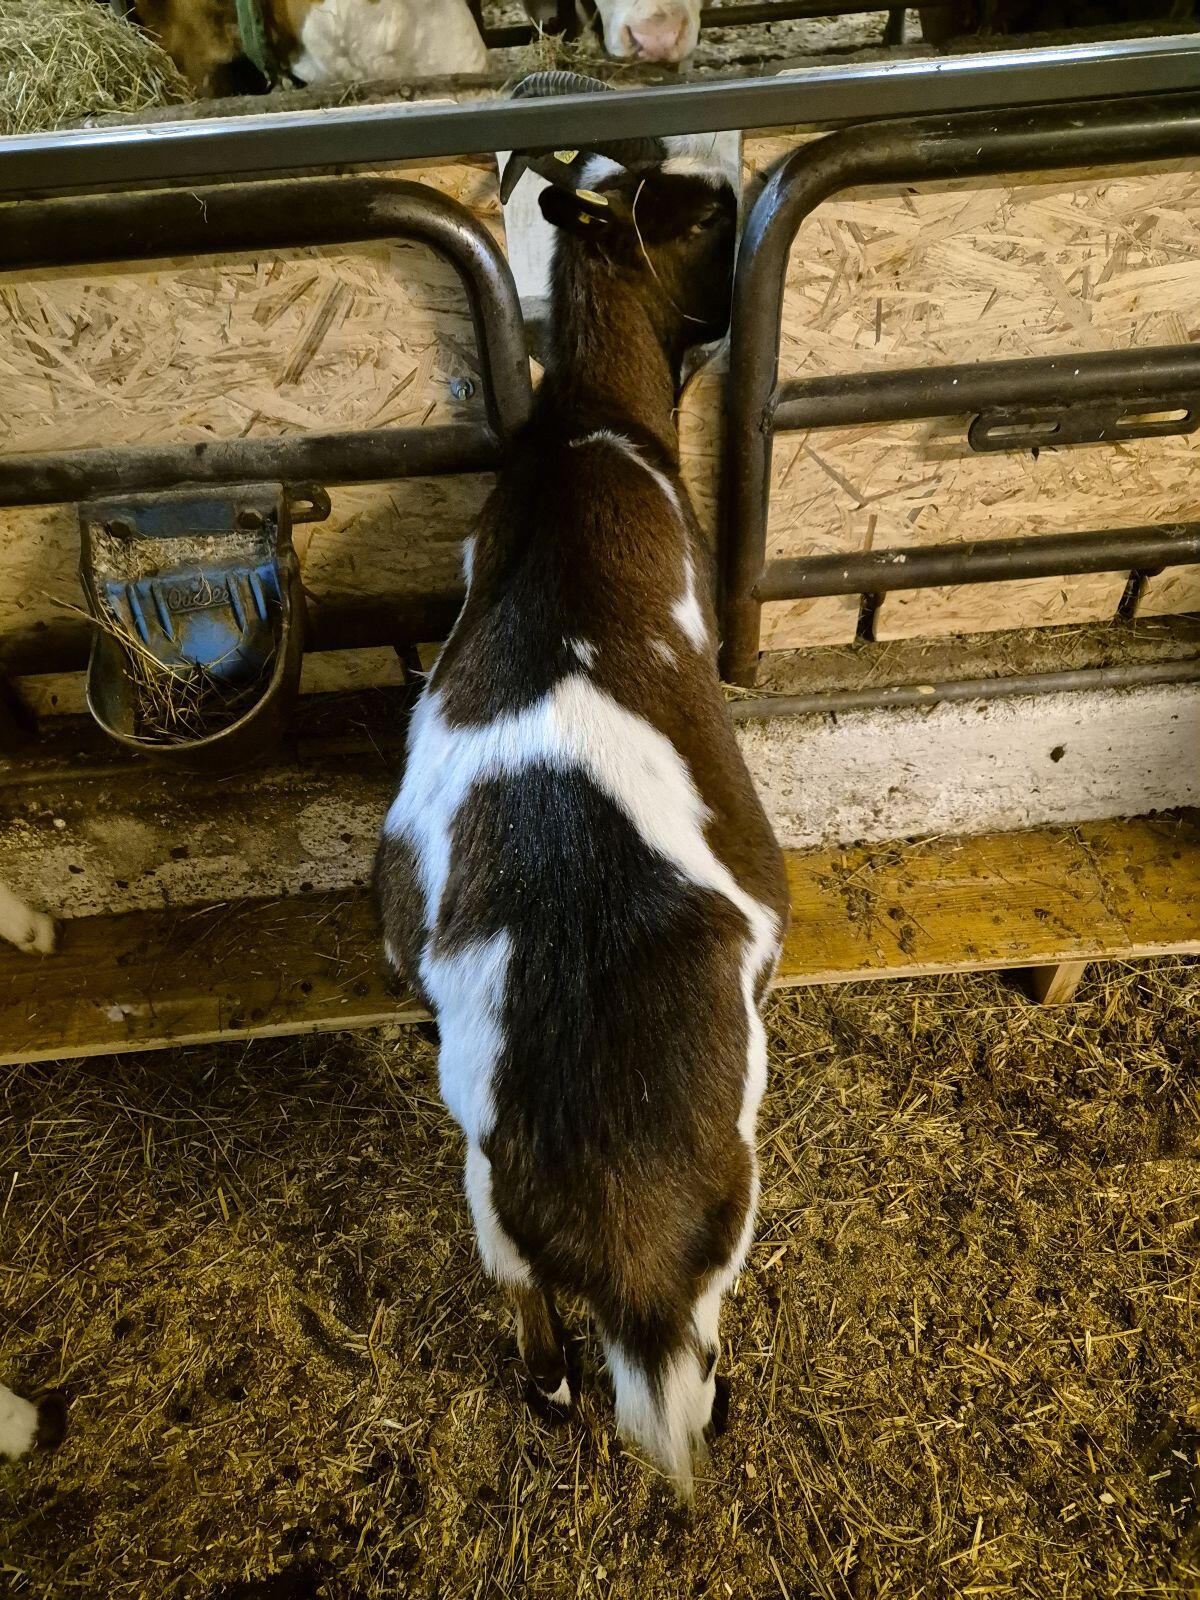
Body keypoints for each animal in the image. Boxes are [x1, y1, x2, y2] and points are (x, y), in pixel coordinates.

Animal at [375, 102, 788, 1495]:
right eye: (697, 207)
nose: (747, 174)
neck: (590, 428)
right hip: (729, 1196)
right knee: (693, 1335)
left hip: (486, 1190)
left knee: (527, 1306)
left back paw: (550, 1391)